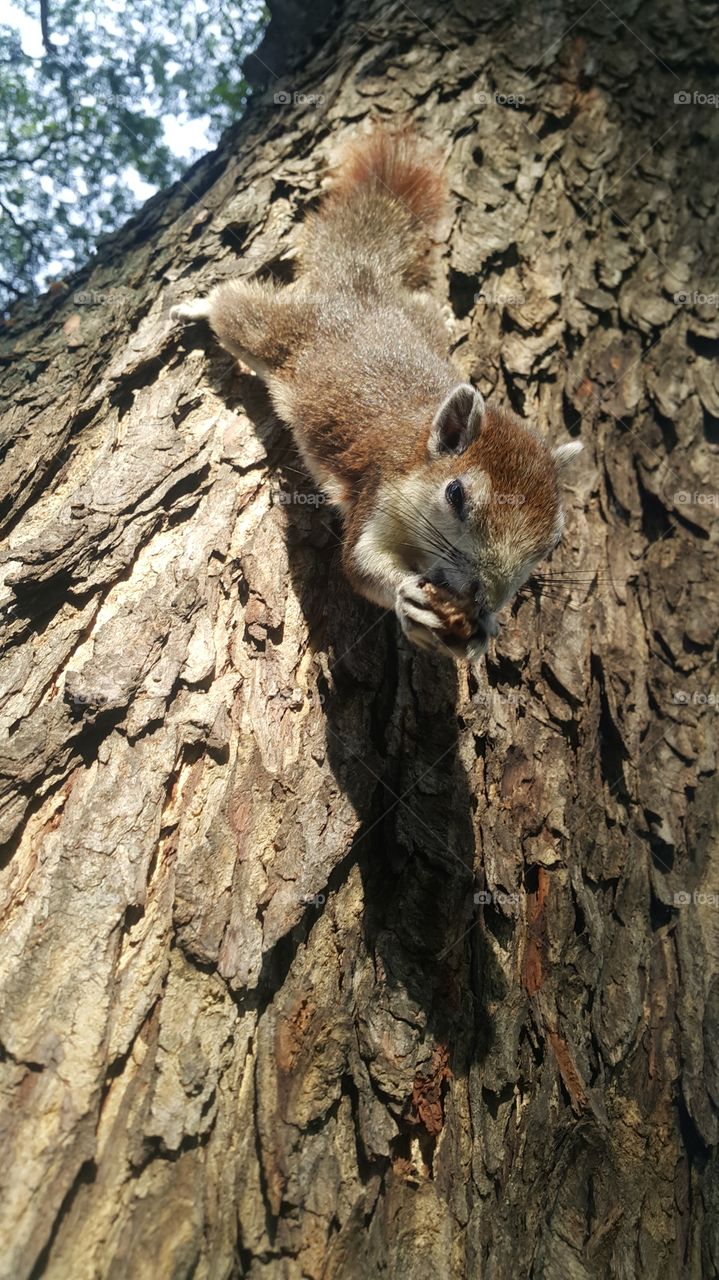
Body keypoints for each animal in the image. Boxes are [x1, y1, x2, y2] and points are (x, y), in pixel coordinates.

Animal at [171, 126, 583, 660]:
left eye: (554, 540)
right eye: (455, 495)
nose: (484, 596)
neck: (417, 443)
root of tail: (362, 288)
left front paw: (484, 631)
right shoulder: (378, 490)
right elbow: (359, 565)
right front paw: (408, 596)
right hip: (274, 335)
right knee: (236, 309)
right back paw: (198, 306)